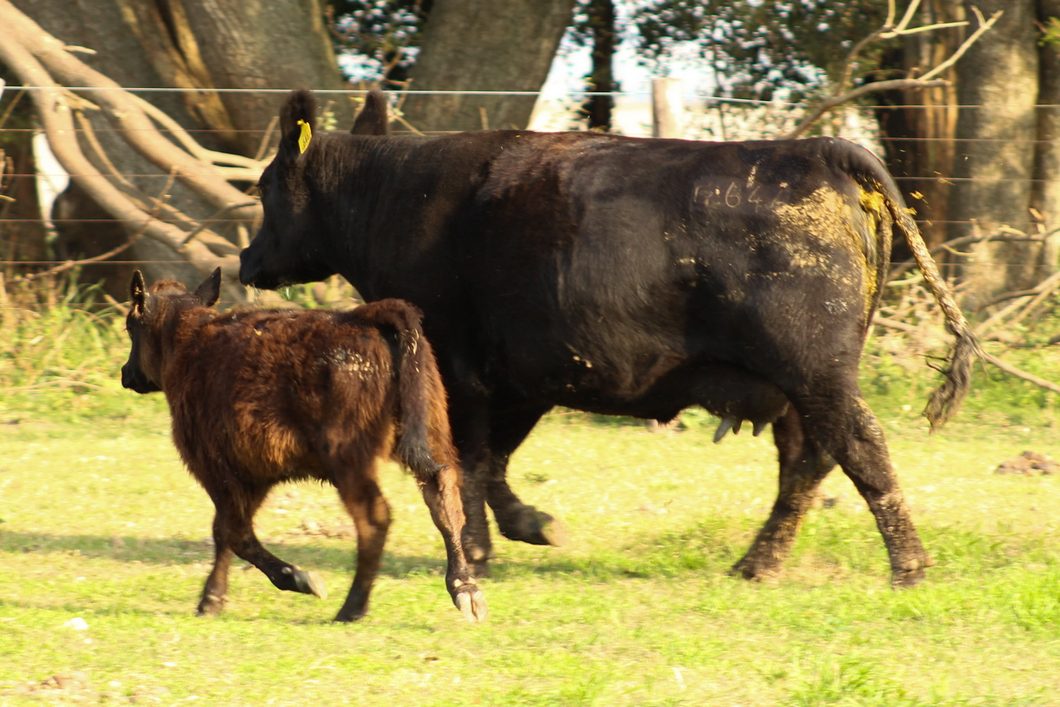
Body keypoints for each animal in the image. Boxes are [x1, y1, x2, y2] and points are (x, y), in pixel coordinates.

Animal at [119, 268, 487, 623]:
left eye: (130, 326)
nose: (126, 373)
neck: (189, 340)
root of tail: (365, 317)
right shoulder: (251, 477)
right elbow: (227, 532)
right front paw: (213, 600)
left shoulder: (218, 470)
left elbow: (232, 532)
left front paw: (295, 579)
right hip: (431, 439)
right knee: (443, 497)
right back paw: (465, 589)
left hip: (349, 462)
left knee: (374, 520)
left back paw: (351, 608)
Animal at [238, 90, 975, 585]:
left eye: (266, 186)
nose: (246, 261)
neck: (398, 194)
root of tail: (817, 150)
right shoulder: (522, 376)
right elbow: (493, 461)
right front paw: (530, 526)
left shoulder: (459, 363)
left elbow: (468, 458)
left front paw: (477, 547)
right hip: (790, 385)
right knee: (807, 461)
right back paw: (756, 563)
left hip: (814, 369)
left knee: (859, 446)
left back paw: (909, 565)